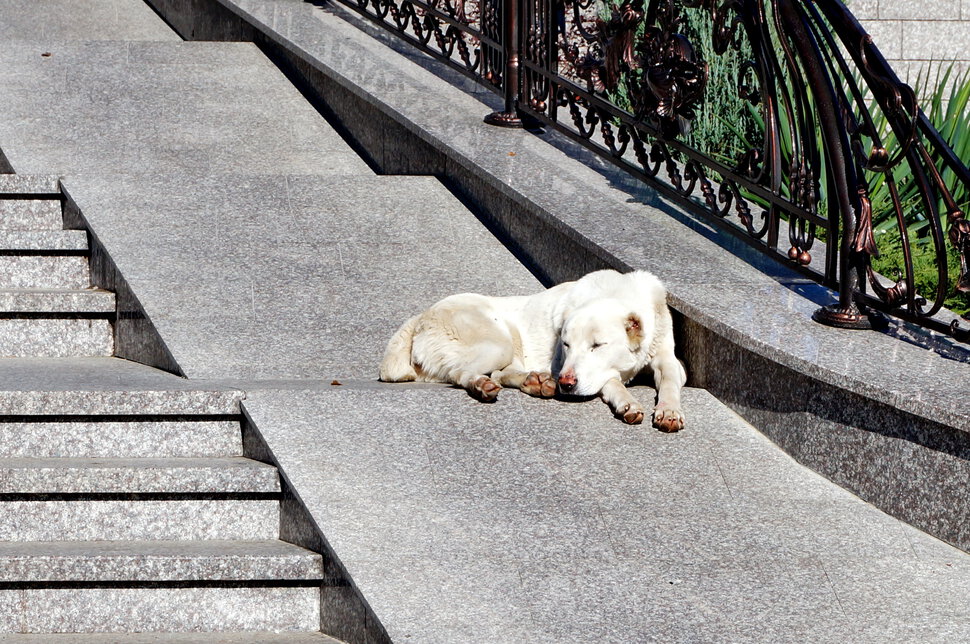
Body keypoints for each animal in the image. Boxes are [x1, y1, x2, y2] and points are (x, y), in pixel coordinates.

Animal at [374, 270, 684, 430]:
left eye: (598, 345)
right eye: (567, 345)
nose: (565, 383)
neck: (614, 292)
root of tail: (419, 318)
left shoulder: (667, 355)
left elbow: (670, 377)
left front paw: (669, 411)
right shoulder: (566, 364)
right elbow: (610, 380)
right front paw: (627, 402)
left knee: (501, 373)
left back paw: (535, 382)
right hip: (498, 339)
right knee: (466, 373)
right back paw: (484, 385)